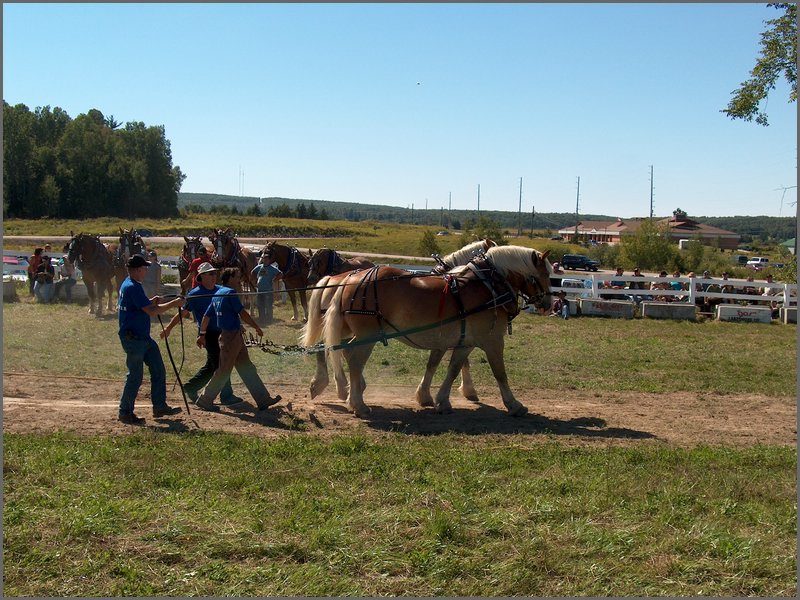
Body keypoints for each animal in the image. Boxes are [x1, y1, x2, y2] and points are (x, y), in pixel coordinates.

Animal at [302, 244, 552, 418]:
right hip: (367, 335)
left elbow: (451, 368)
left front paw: (441, 400)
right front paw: (514, 405)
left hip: (350, 330)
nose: (547, 304)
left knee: (338, 351)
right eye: (546, 275)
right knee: (352, 359)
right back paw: (357, 403)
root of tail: (350, 278)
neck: (488, 285)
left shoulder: (464, 341)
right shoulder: (492, 340)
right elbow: (500, 373)